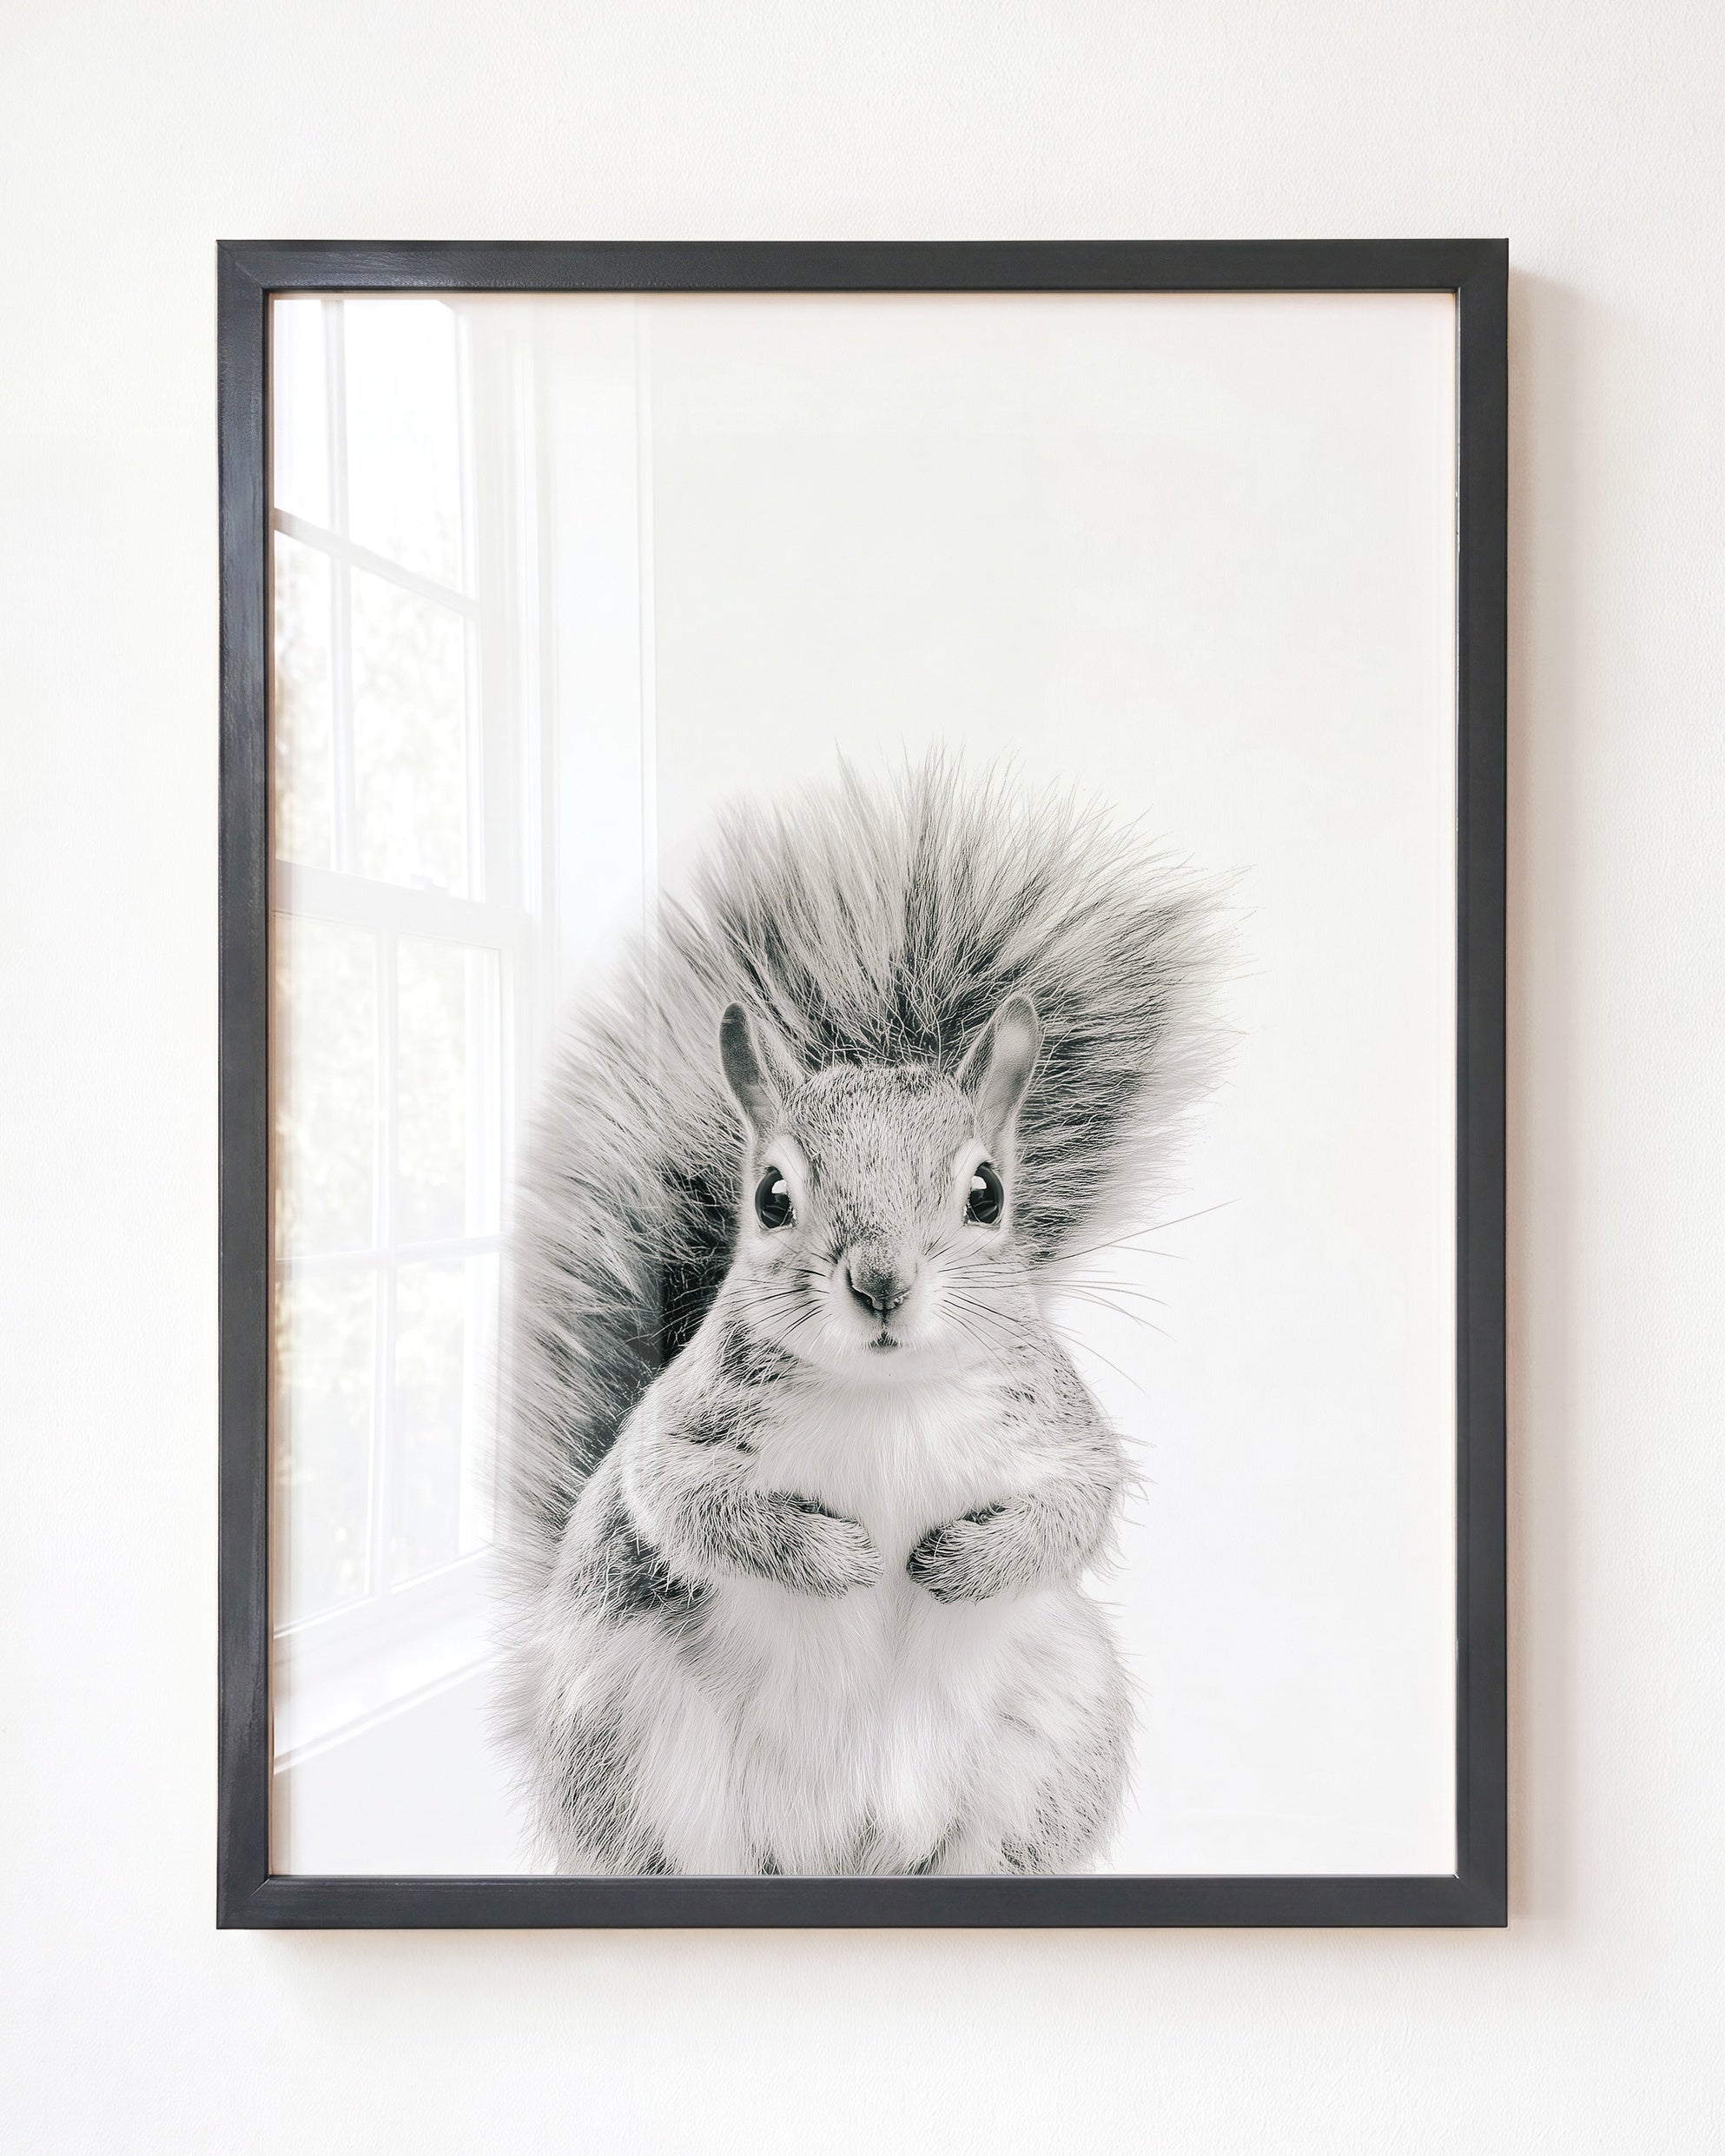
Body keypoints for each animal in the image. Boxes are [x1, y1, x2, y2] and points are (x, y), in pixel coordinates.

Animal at [494, 756, 1219, 1875]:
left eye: (986, 1194)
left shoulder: (1061, 1431)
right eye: (770, 1197)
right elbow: (690, 1506)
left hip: (1054, 1736)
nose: (880, 1283)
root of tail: (847, 1849)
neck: (886, 1394)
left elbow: (1075, 1509)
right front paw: (837, 1558)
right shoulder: (676, 1436)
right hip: (631, 1743)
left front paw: (963, 1561)